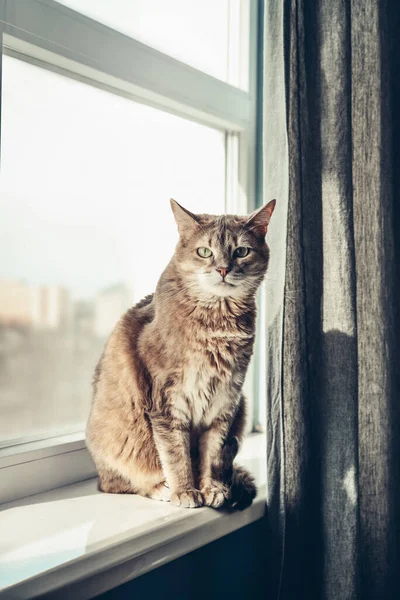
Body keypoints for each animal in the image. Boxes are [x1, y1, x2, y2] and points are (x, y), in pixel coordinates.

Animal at [86, 199, 276, 508]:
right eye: (204, 251)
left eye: (241, 251)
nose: (223, 269)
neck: (217, 324)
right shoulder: (166, 403)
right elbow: (175, 453)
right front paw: (185, 491)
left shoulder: (226, 402)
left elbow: (213, 453)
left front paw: (212, 488)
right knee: (118, 483)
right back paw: (160, 487)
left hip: (242, 405)